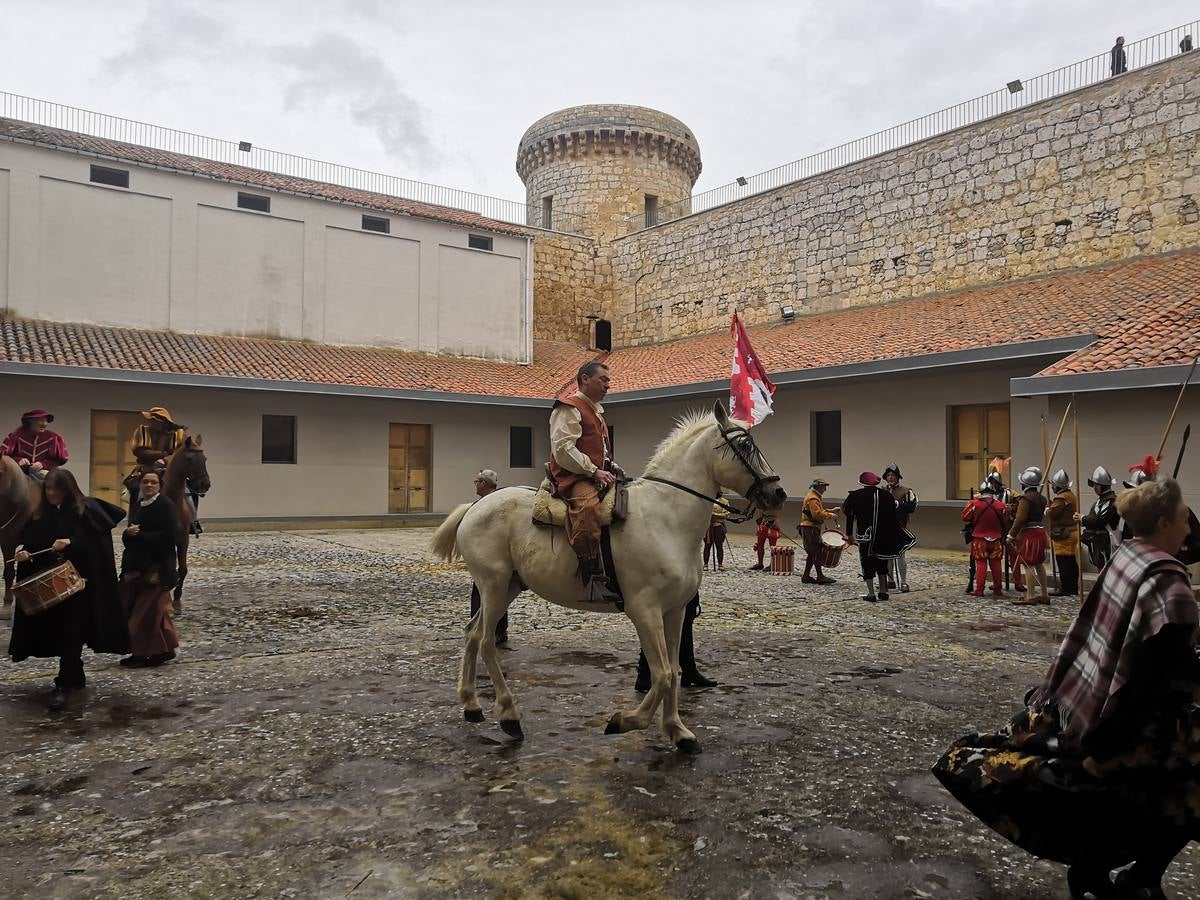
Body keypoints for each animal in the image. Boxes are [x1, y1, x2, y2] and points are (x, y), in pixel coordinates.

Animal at [432, 400, 787, 753]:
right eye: (744, 446)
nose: (778, 493)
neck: (666, 517)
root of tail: (475, 507)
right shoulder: (644, 610)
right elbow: (662, 675)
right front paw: (625, 721)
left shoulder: (675, 610)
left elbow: (673, 670)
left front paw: (678, 731)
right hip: (493, 585)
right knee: (486, 640)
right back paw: (509, 716)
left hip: (509, 586)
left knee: (472, 634)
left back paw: (471, 705)